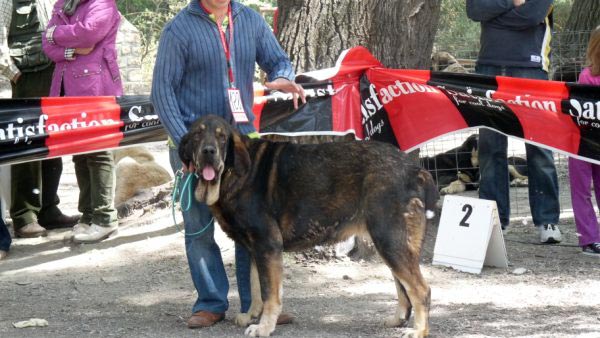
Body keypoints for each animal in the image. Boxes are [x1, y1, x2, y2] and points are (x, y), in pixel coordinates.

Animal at [179, 115, 440, 336]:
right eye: (197, 135)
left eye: (222, 137)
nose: (209, 151)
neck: (234, 172)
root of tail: (414, 169)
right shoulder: (255, 249)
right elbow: (255, 288)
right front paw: (252, 315)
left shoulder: (267, 246)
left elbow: (269, 294)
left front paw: (264, 327)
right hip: (389, 243)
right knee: (403, 287)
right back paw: (398, 320)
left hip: (390, 241)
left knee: (420, 290)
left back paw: (419, 331)